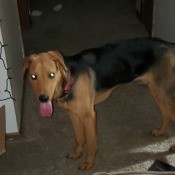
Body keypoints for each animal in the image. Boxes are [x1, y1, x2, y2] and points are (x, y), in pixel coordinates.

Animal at [22, 38, 175, 170]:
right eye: (33, 76)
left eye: (51, 75)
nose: (43, 98)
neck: (69, 80)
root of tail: (170, 45)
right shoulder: (73, 115)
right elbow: (79, 138)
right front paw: (77, 153)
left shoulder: (89, 117)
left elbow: (91, 144)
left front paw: (88, 163)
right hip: (157, 91)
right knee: (166, 114)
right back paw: (160, 131)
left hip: (165, 94)